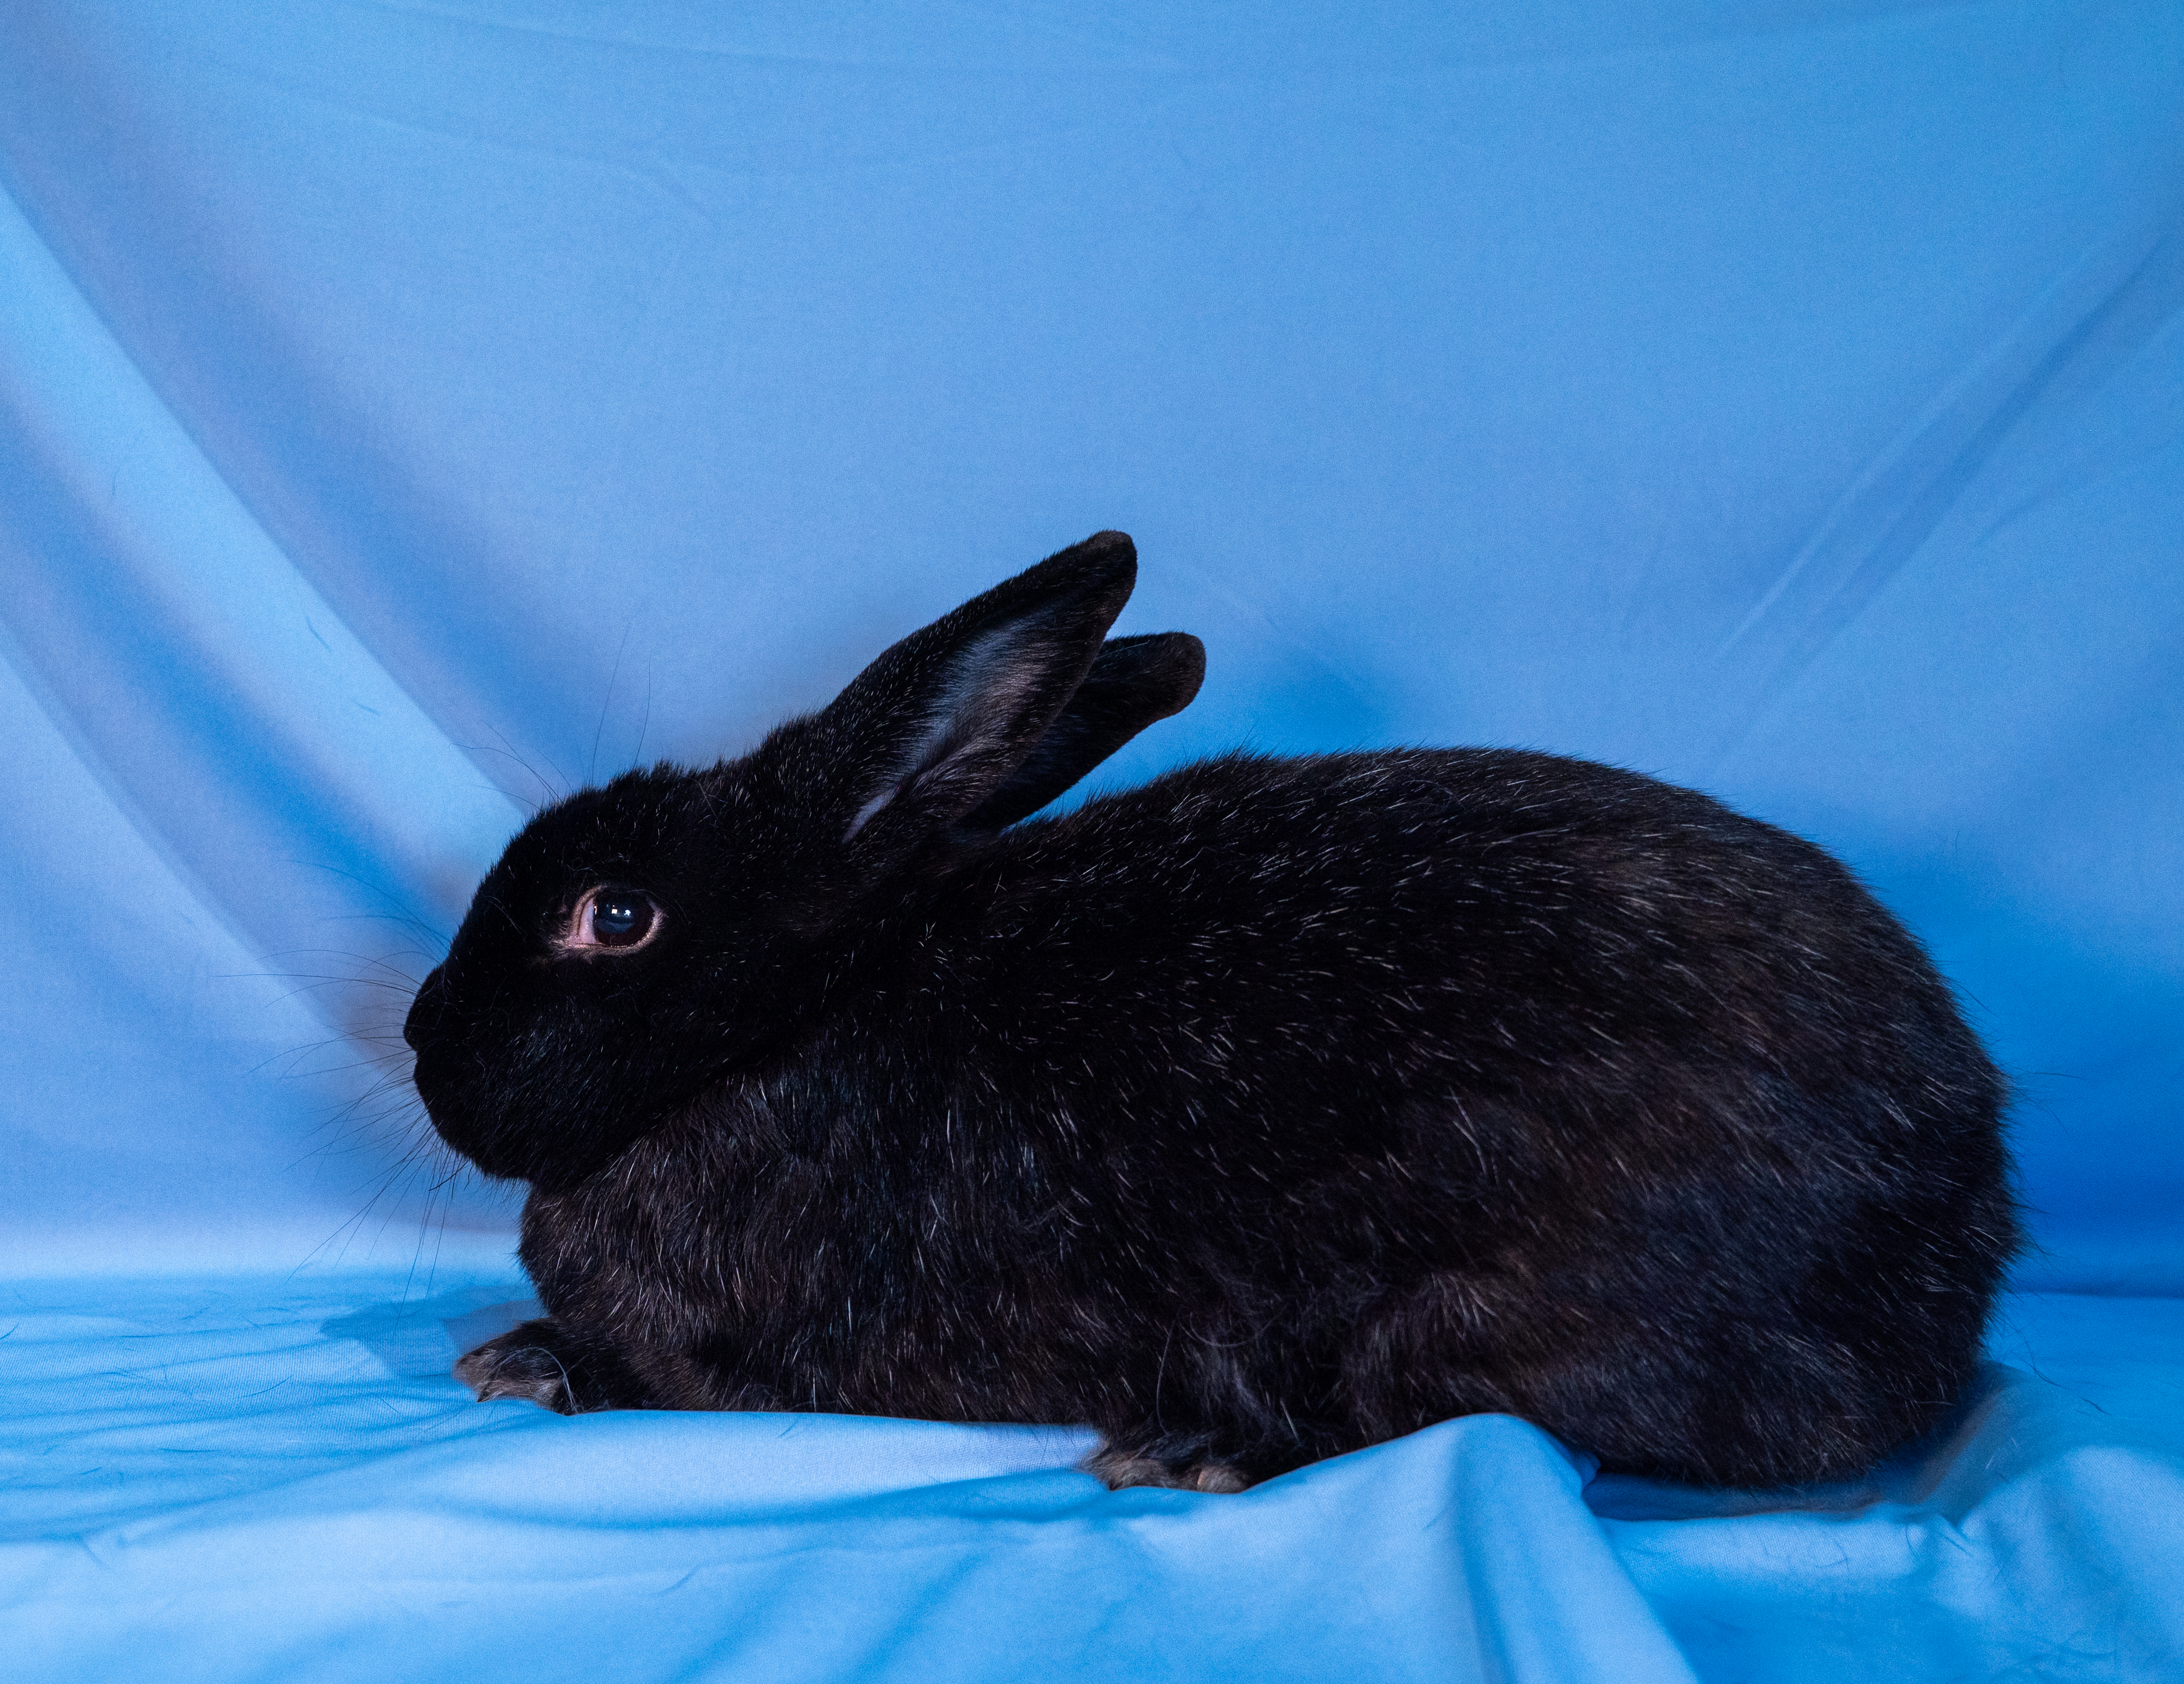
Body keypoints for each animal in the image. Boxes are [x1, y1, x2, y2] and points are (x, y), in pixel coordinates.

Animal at [406, 530, 2018, 1493]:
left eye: (615, 916)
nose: (423, 1042)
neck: (781, 1024)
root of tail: (1962, 1223)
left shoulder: (730, 1355)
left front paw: (531, 1361)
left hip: (1489, 1313)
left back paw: (1195, 1449)